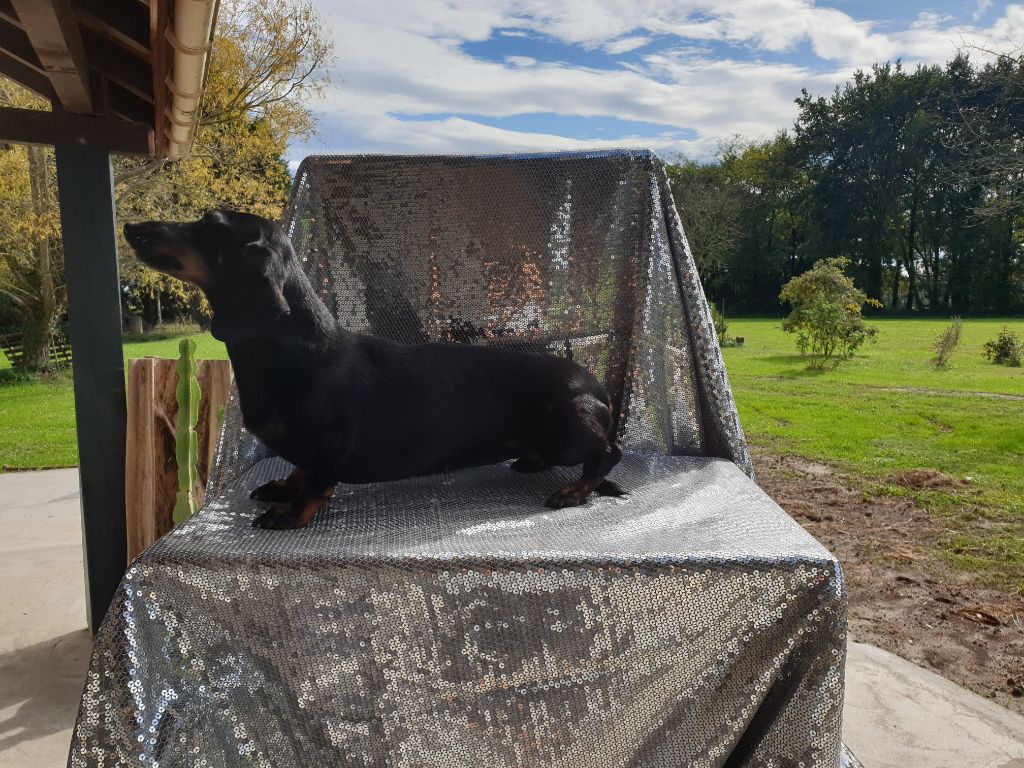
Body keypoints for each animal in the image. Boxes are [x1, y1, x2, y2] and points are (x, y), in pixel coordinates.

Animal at [123, 210, 624, 529]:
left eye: (209, 225)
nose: (130, 227)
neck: (295, 353)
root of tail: (597, 388)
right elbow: (300, 469)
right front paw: (285, 486)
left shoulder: (332, 444)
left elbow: (317, 480)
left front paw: (293, 511)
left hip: (564, 431)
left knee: (608, 453)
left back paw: (576, 490)